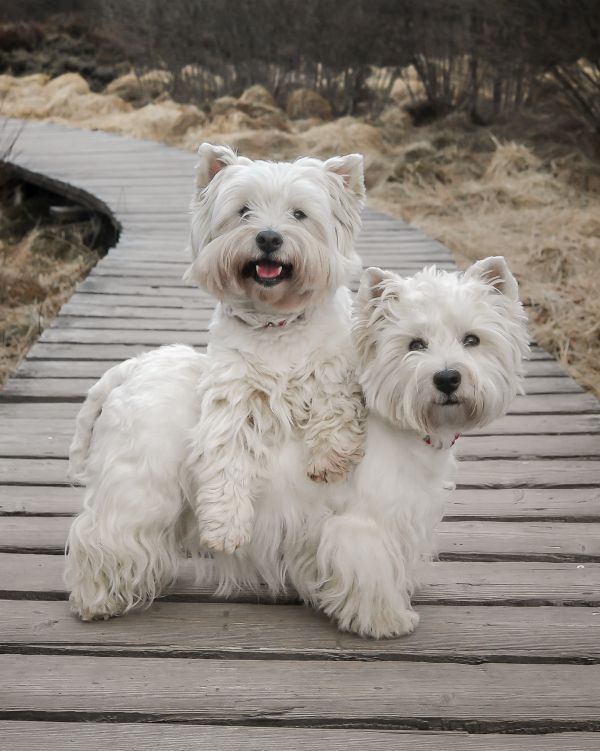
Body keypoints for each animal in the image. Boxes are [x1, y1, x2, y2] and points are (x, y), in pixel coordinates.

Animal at [65, 145, 366, 624]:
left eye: (299, 214)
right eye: (243, 211)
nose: (268, 238)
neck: (276, 323)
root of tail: (128, 368)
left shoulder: (335, 365)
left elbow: (334, 404)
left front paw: (329, 458)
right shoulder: (233, 399)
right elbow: (229, 463)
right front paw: (225, 529)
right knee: (104, 534)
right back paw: (97, 601)